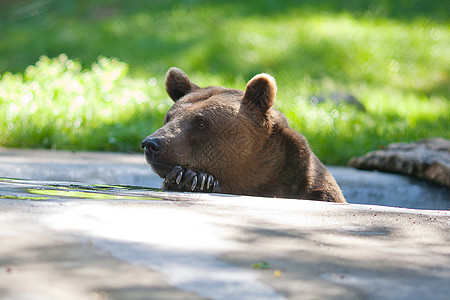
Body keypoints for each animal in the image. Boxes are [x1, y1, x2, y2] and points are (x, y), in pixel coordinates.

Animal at [142, 67, 346, 204]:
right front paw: (191, 178)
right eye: (169, 117)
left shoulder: (319, 191)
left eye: (201, 122)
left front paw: (193, 178)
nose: (151, 143)